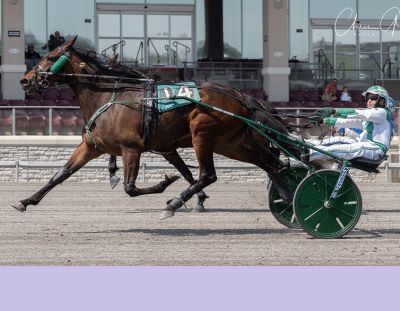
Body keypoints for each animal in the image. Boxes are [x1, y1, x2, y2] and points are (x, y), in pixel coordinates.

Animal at [17, 37, 302, 219]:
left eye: (52, 57)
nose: (26, 80)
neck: (110, 95)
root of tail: (240, 97)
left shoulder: (132, 148)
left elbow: (131, 188)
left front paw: (167, 185)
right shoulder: (92, 146)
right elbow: (60, 175)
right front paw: (27, 201)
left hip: (203, 135)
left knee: (209, 174)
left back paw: (174, 204)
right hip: (229, 143)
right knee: (267, 163)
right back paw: (289, 198)